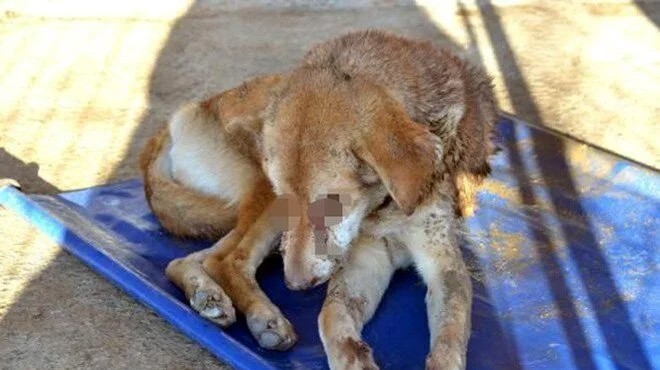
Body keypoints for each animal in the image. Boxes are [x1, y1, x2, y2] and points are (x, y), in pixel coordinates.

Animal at [141, 30, 500, 368]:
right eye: (286, 196)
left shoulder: (444, 265)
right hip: (263, 200)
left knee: (191, 259)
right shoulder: (363, 261)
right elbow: (330, 317)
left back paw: (207, 295)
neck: (383, 207)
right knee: (228, 259)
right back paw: (261, 317)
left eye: (333, 203)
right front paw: (351, 358)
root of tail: (178, 119)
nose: (295, 285)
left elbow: (449, 338)